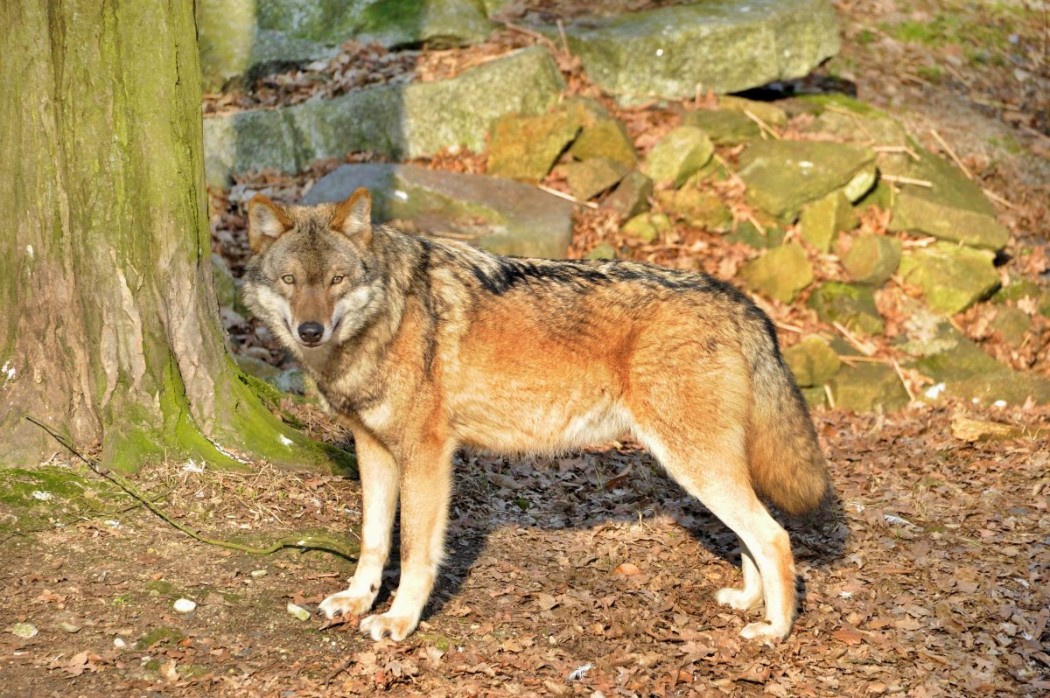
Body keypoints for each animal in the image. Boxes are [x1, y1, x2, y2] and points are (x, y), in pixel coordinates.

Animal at [242, 188, 830, 643]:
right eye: (291, 281)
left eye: (337, 280)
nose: (310, 330)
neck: (387, 319)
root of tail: (739, 299)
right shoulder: (374, 450)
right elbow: (373, 540)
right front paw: (356, 601)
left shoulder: (427, 457)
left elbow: (413, 551)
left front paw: (400, 621)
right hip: (702, 468)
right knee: (751, 536)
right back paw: (749, 602)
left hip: (694, 464)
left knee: (774, 536)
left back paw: (775, 630)